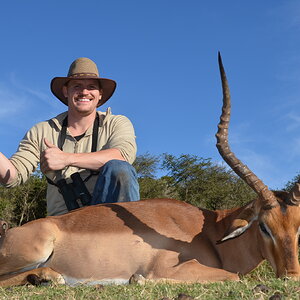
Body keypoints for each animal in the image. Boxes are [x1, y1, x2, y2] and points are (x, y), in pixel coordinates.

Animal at [0, 53, 298, 286]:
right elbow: (230, 277)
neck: (210, 232)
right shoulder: (169, 267)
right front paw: (138, 279)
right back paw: (49, 276)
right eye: (264, 226)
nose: (291, 277)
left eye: (297, 227)